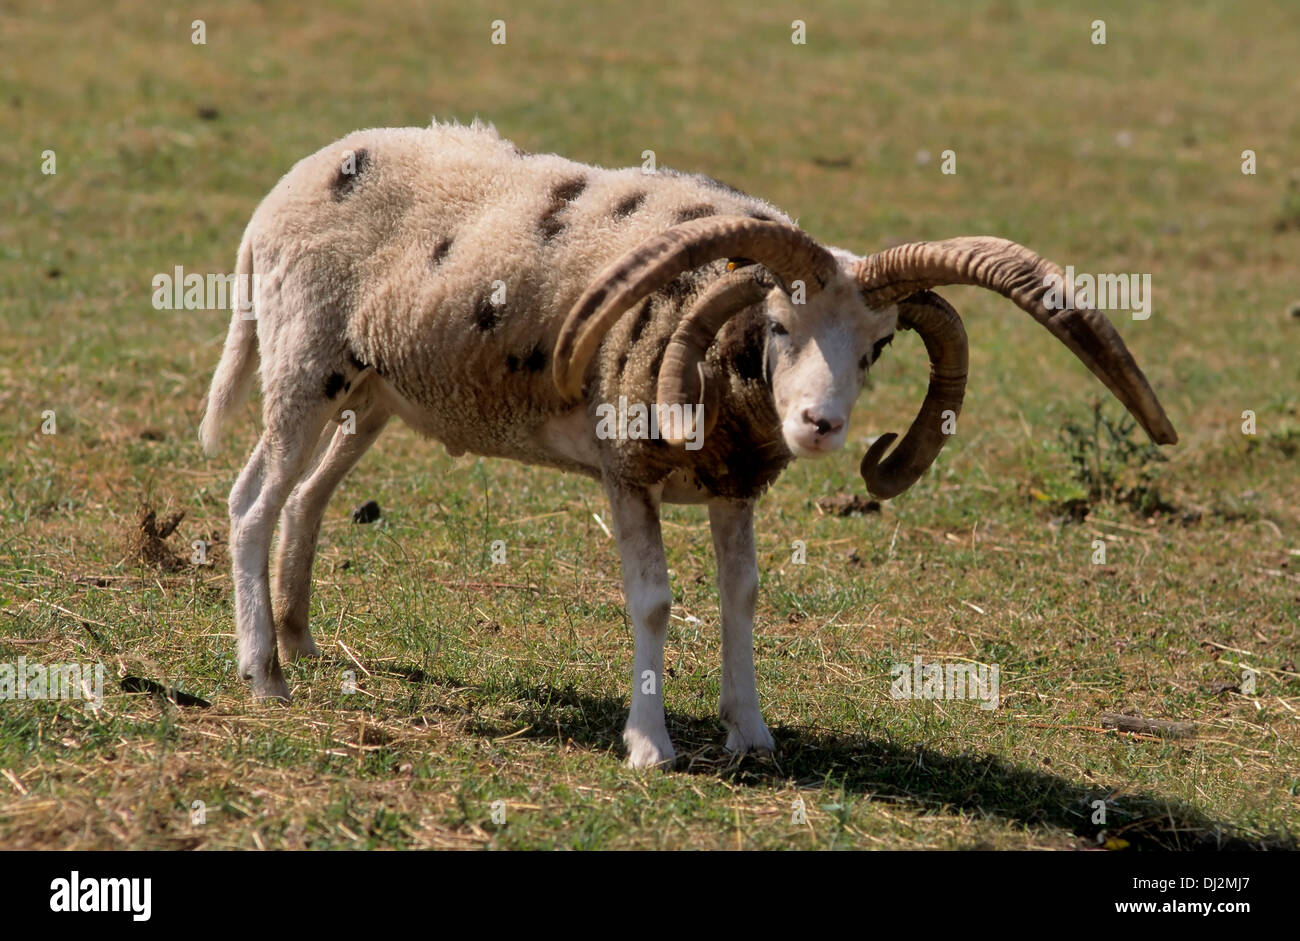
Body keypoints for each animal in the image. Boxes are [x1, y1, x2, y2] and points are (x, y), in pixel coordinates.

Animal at [195, 119, 1180, 764]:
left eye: (876, 347)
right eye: (778, 324)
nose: (822, 426)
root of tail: (289, 186)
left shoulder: (733, 481)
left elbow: (742, 597)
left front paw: (753, 734)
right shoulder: (627, 470)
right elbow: (656, 601)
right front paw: (650, 744)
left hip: (370, 391)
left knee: (307, 497)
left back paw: (299, 640)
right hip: (302, 362)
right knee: (252, 501)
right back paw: (263, 675)